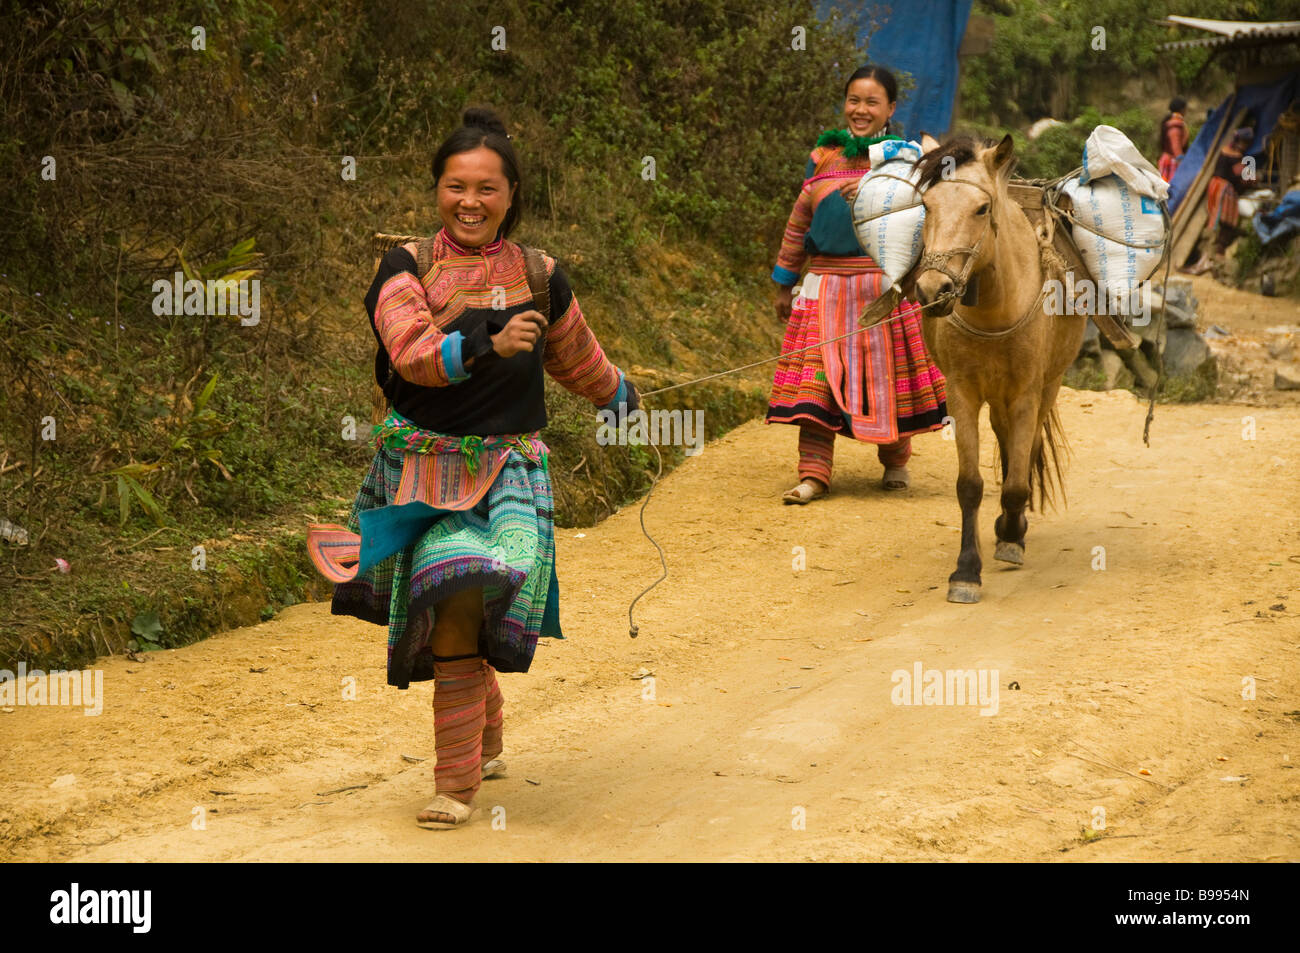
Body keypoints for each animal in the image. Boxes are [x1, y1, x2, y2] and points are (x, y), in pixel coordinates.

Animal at [904, 133, 1086, 603]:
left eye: (981, 209)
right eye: (926, 206)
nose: (933, 289)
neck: (994, 312)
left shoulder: (1026, 394)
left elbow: (1020, 478)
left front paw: (1010, 535)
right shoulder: (962, 394)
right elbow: (969, 485)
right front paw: (966, 572)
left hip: (1048, 386)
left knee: (1025, 453)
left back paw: (1012, 528)